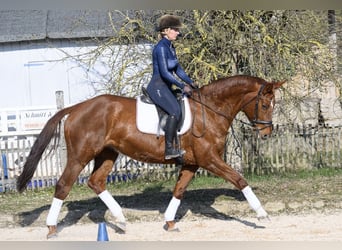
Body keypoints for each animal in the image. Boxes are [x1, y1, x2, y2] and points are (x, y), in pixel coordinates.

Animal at [16, 74, 284, 238]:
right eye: (265, 104)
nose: (267, 133)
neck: (210, 110)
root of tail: (76, 108)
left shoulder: (192, 163)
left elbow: (179, 191)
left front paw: (170, 222)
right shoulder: (209, 159)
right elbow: (240, 180)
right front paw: (262, 213)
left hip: (107, 154)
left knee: (96, 182)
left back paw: (121, 219)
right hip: (79, 156)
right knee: (63, 185)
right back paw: (52, 228)